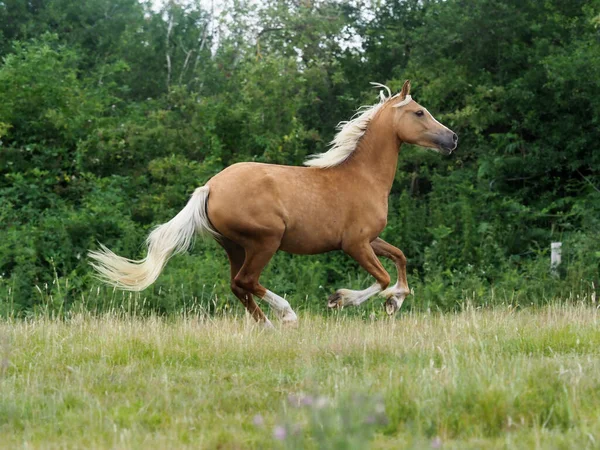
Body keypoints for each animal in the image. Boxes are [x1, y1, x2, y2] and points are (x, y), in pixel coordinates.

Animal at [88, 81, 454, 326]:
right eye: (419, 112)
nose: (452, 138)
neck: (363, 177)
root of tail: (210, 187)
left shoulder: (372, 239)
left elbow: (400, 258)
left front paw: (395, 302)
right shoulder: (355, 243)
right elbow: (381, 278)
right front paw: (340, 299)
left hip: (234, 246)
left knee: (237, 285)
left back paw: (266, 324)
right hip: (266, 240)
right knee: (246, 281)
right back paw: (287, 315)